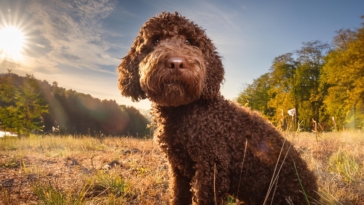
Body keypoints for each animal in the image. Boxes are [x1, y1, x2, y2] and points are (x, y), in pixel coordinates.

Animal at [117, 11, 318, 205]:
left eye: (189, 41)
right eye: (156, 40)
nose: (176, 63)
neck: (183, 112)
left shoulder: (212, 167)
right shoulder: (178, 170)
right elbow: (179, 196)